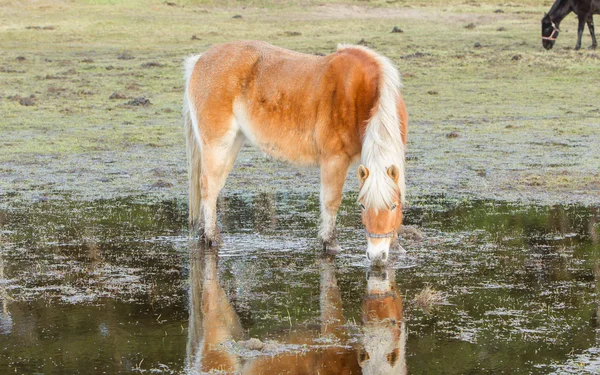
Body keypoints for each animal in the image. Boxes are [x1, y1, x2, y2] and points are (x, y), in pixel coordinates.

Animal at [183, 40, 408, 264]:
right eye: (362, 206)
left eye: (394, 206)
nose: (377, 255)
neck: (362, 94)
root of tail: (199, 60)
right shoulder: (334, 160)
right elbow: (331, 201)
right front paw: (329, 243)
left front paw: (396, 247)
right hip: (218, 144)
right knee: (209, 186)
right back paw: (212, 238)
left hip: (232, 144)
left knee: (213, 187)